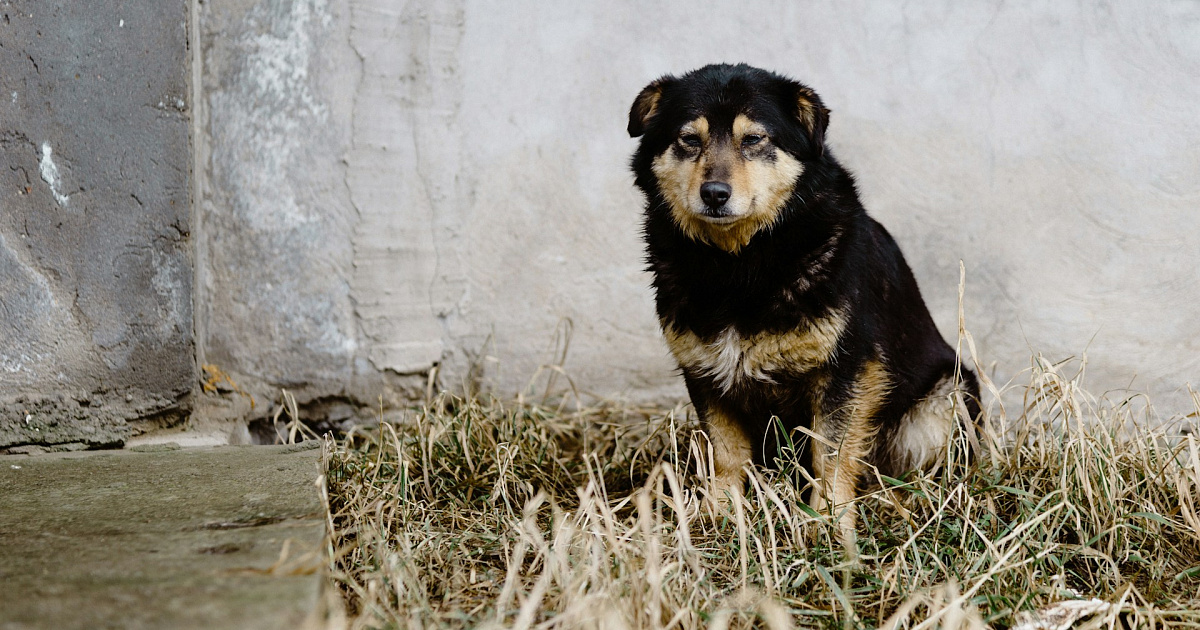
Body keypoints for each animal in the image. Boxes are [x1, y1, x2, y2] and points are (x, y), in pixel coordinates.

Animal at [624, 62, 979, 535]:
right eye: (689, 139)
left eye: (754, 139)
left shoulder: (847, 369)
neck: (738, 263)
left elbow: (831, 452)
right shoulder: (704, 369)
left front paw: (828, 520)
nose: (714, 194)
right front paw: (721, 512)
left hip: (947, 396)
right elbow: (725, 451)